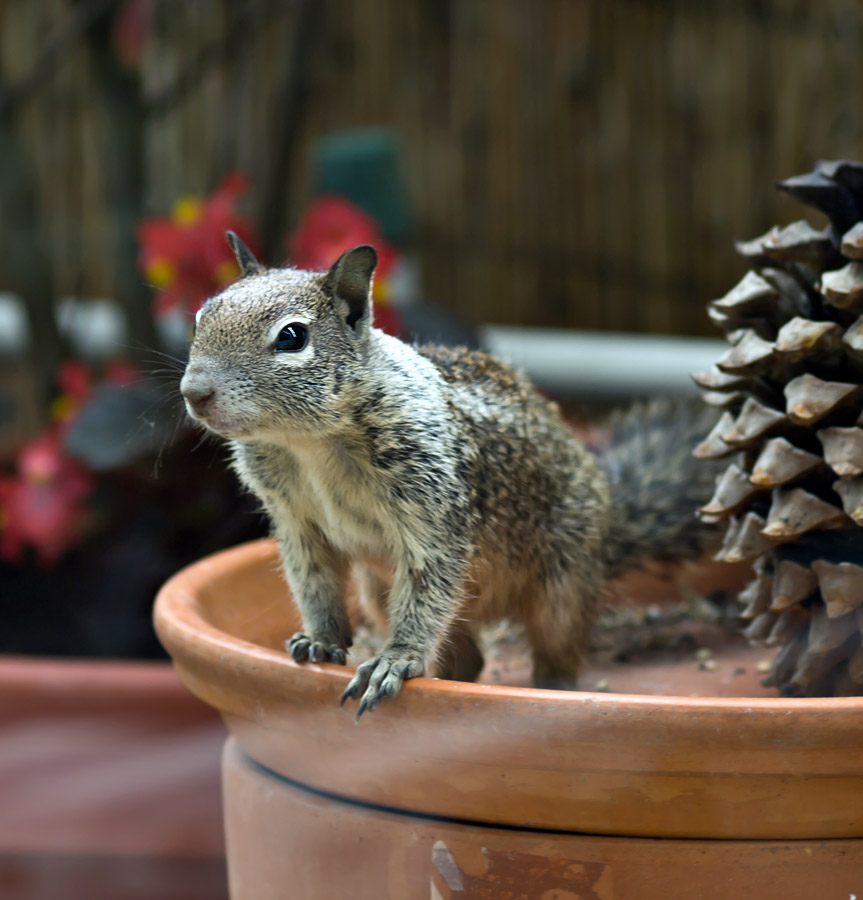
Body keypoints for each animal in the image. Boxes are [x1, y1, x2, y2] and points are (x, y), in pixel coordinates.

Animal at [181, 232, 724, 716]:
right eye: (200, 318)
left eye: (292, 337)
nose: (194, 391)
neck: (308, 443)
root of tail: (611, 522)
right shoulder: (297, 523)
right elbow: (312, 583)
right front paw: (320, 640)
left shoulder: (433, 507)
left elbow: (430, 583)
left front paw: (396, 659)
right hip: (377, 592)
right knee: (469, 658)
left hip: (563, 588)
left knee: (556, 654)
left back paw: (551, 686)